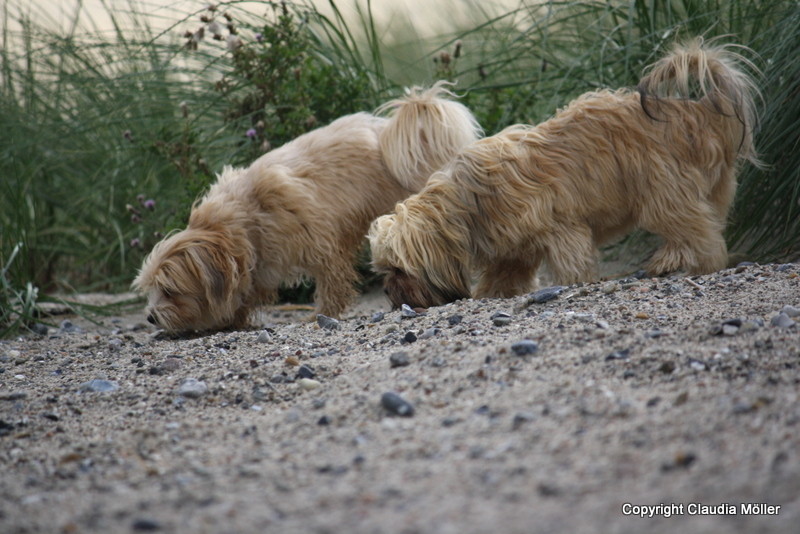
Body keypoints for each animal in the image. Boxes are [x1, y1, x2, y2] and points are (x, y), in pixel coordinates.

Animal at [134, 83, 482, 330]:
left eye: (170, 290)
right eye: (151, 289)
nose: (150, 317)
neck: (245, 218)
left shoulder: (322, 243)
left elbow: (330, 285)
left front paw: (321, 315)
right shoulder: (260, 262)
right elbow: (245, 292)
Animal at [368, 39, 756, 310]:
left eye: (399, 268)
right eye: (385, 270)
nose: (389, 290)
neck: (469, 203)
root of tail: (701, 110)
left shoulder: (563, 228)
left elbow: (571, 262)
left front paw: (574, 284)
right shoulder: (513, 248)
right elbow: (505, 271)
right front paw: (492, 292)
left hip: (662, 191)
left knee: (699, 233)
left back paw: (685, 261)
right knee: (706, 226)